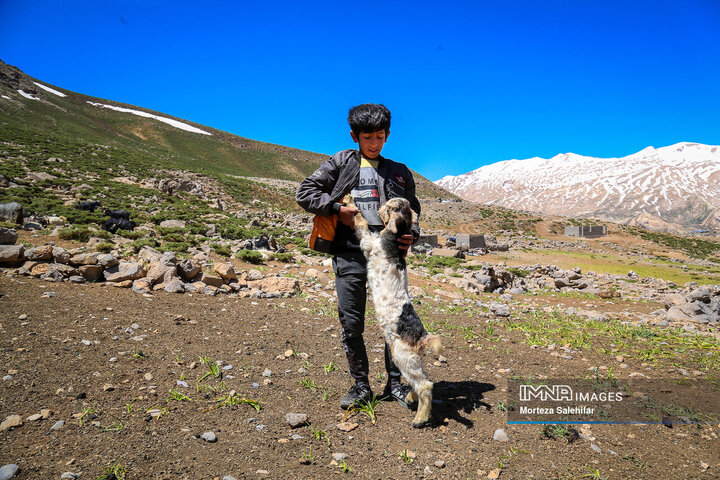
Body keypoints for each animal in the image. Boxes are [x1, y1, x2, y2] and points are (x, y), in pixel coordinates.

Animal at [348, 197, 442, 430]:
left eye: (391, 206)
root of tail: (423, 338)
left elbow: (362, 225)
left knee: (425, 385)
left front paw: (351, 203)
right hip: (410, 359)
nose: (380, 207)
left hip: (403, 356)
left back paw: (420, 418)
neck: (396, 234)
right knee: (422, 379)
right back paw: (409, 397)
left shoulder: (370, 244)